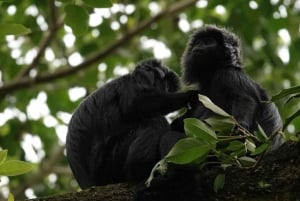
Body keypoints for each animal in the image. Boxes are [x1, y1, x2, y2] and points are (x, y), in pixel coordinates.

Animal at [66, 58, 198, 188]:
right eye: (165, 84)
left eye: (169, 88)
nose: (167, 90)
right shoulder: (133, 83)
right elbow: (135, 104)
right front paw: (188, 96)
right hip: (107, 164)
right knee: (155, 121)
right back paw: (139, 169)